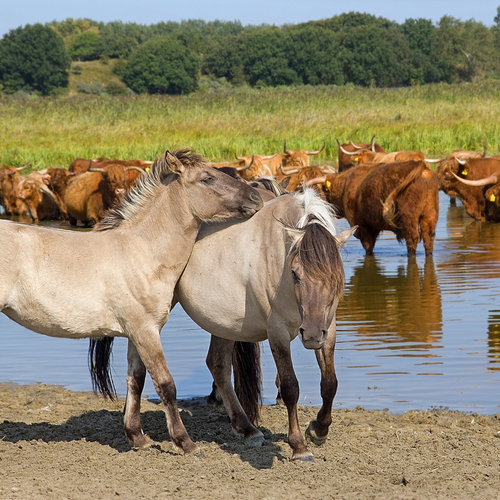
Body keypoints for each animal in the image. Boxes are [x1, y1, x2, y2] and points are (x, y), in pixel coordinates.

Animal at [310, 161, 440, 256]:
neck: (345, 185)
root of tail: (421, 167)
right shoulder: (374, 226)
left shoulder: (362, 226)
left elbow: (368, 247)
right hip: (429, 214)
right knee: (428, 238)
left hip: (409, 216)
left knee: (412, 239)